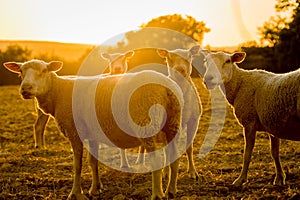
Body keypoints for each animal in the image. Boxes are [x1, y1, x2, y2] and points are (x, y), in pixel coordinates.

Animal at [3, 58, 186, 199]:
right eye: (20, 72)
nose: (25, 89)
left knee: (157, 160)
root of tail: (168, 88)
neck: (57, 91)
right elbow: (93, 162)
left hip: (146, 124)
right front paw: (95, 189)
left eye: (43, 70)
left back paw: (157, 194)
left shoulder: (74, 131)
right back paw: (171, 191)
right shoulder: (91, 133)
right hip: (172, 123)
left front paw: (75, 193)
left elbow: (77, 165)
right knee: (174, 157)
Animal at [156, 45, 203, 180]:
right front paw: (166, 173)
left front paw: (193, 172)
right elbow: (167, 150)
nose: (180, 69)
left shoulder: (194, 120)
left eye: (189, 56)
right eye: (169, 57)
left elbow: (189, 148)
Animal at [202, 50, 300, 188]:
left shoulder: (249, 122)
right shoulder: (272, 123)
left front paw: (240, 179)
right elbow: (274, 153)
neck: (240, 84)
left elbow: (247, 154)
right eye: (206, 61)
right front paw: (280, 178)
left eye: (228, 61)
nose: (208, 79)